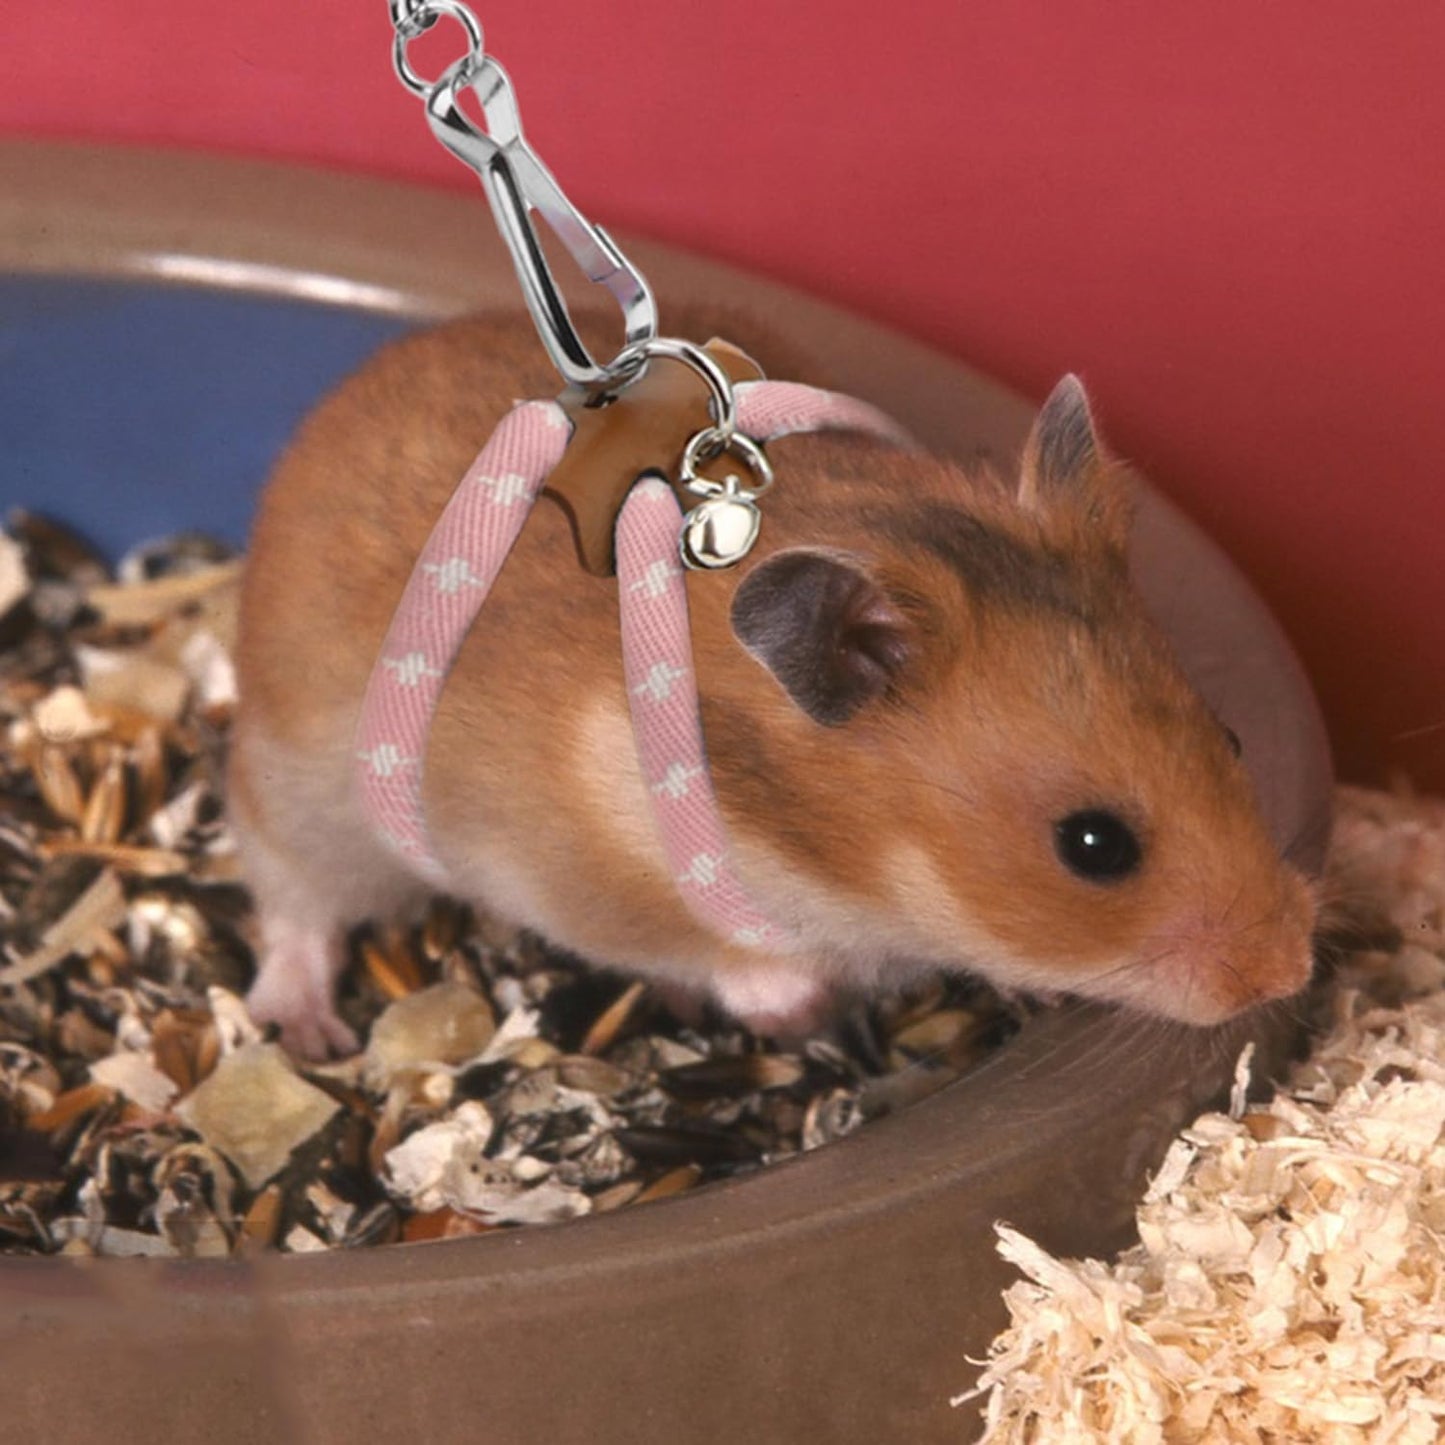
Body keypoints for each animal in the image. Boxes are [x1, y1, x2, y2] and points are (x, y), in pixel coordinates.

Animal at [229, 310, 1316, 1057]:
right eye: (1093, 845)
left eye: (1230, 740)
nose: (1290, 968)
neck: (836, 855)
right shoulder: (577, 875)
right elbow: (700, 949)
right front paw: (799, 1009)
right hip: (306, 785)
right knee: (292, 902)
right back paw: (306, 1028)